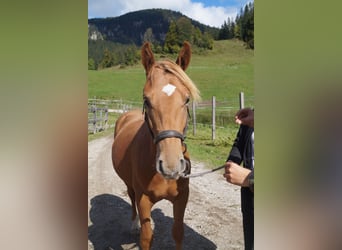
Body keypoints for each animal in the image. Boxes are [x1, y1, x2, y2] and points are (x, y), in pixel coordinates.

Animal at [112, 42, 200, 249]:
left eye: (186, 99)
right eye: (146, 99)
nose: (170, 166)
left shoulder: (182, 198)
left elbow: (178, 233)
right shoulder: (144, 200)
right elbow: (146, 236)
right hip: (130, 185)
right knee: (132, 199)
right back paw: (133, 224)